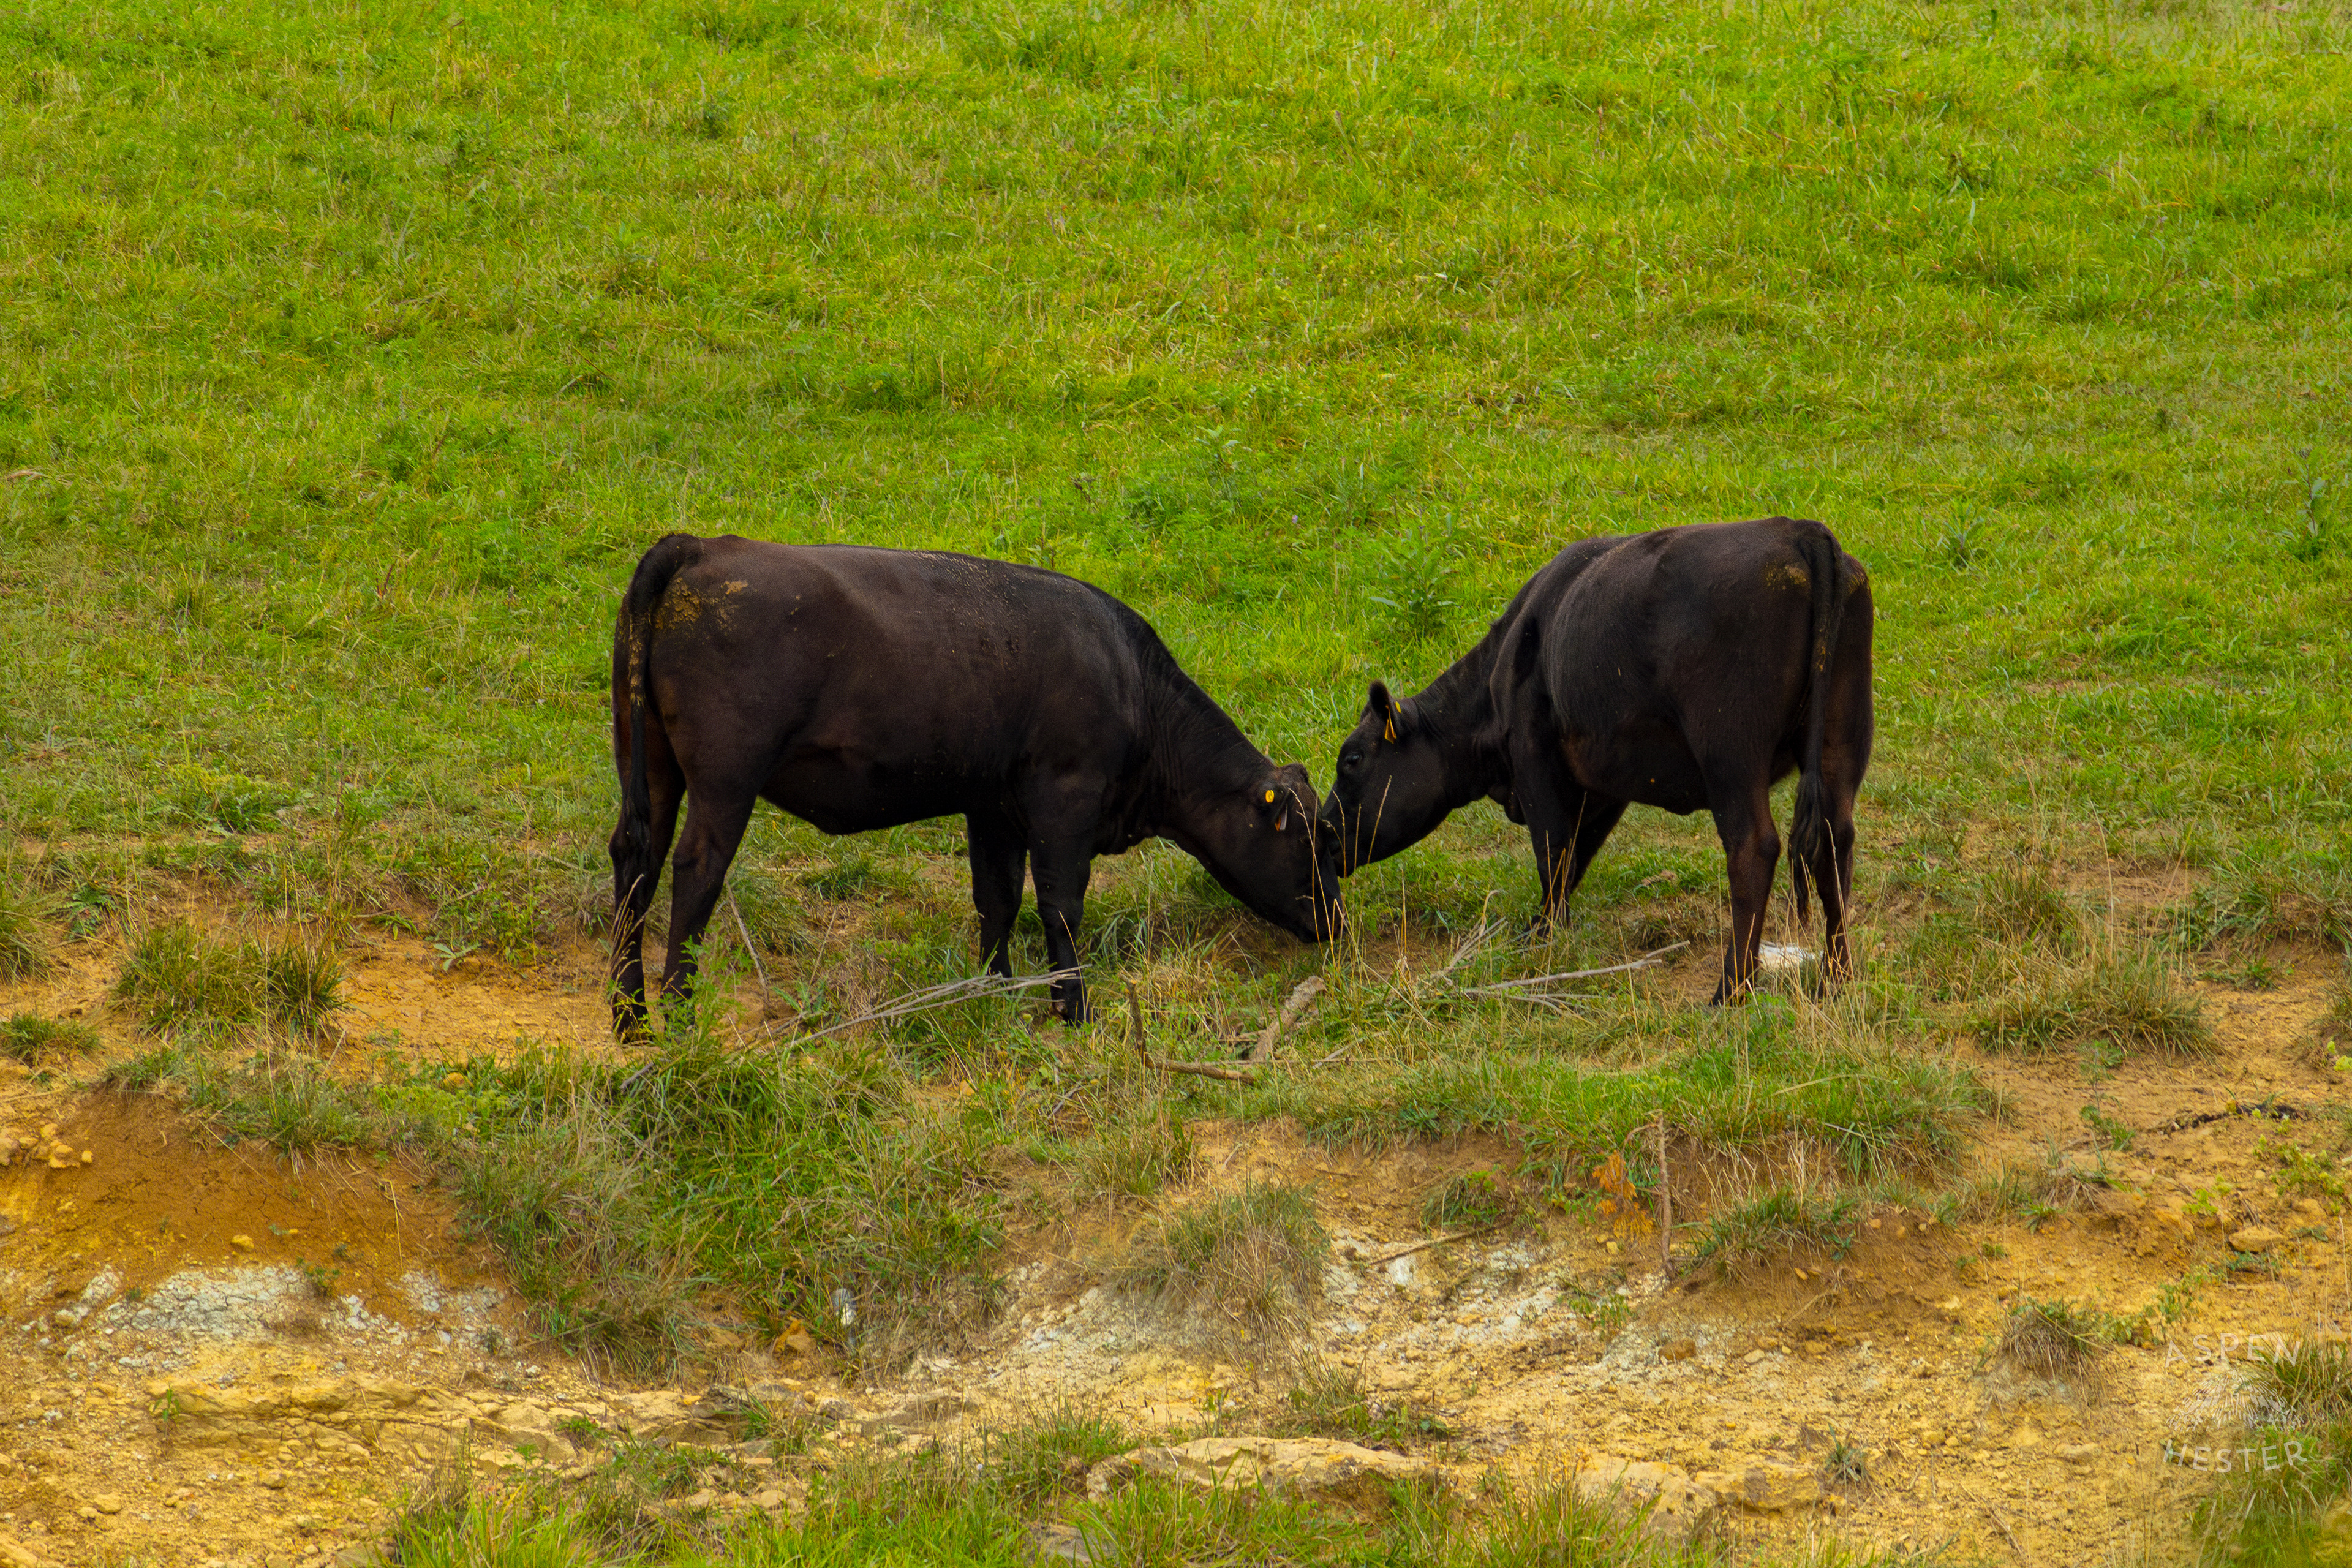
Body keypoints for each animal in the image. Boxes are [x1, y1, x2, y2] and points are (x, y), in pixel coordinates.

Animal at [608, 534, 1343, 1035]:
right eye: (1312, 837)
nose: (1336, 921)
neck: (1131, 682)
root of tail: (703, 546)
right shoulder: (1066, 798)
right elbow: (1059, 906)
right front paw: (1073, 1008)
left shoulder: (994, 809)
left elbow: (998, 900)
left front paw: (995, 992)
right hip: (725, 781)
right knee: (696, 871)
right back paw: (679, 1017)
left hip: (652, 766)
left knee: (635, 860)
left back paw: (630, 1016)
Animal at [1319, 517, 1873, 1001]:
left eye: (1351, 761)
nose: (1321, 828)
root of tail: (1797, 531)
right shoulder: (1605, 783)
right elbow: (1578, 857)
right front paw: (1547, 927)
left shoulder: (1535, 761)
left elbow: (1553, 852)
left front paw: (1544, 934)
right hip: (1842, 737)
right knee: (1836, 841)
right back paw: (1835, 979)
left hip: (1730, 750)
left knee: (1753, 846)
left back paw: (1731, 990)